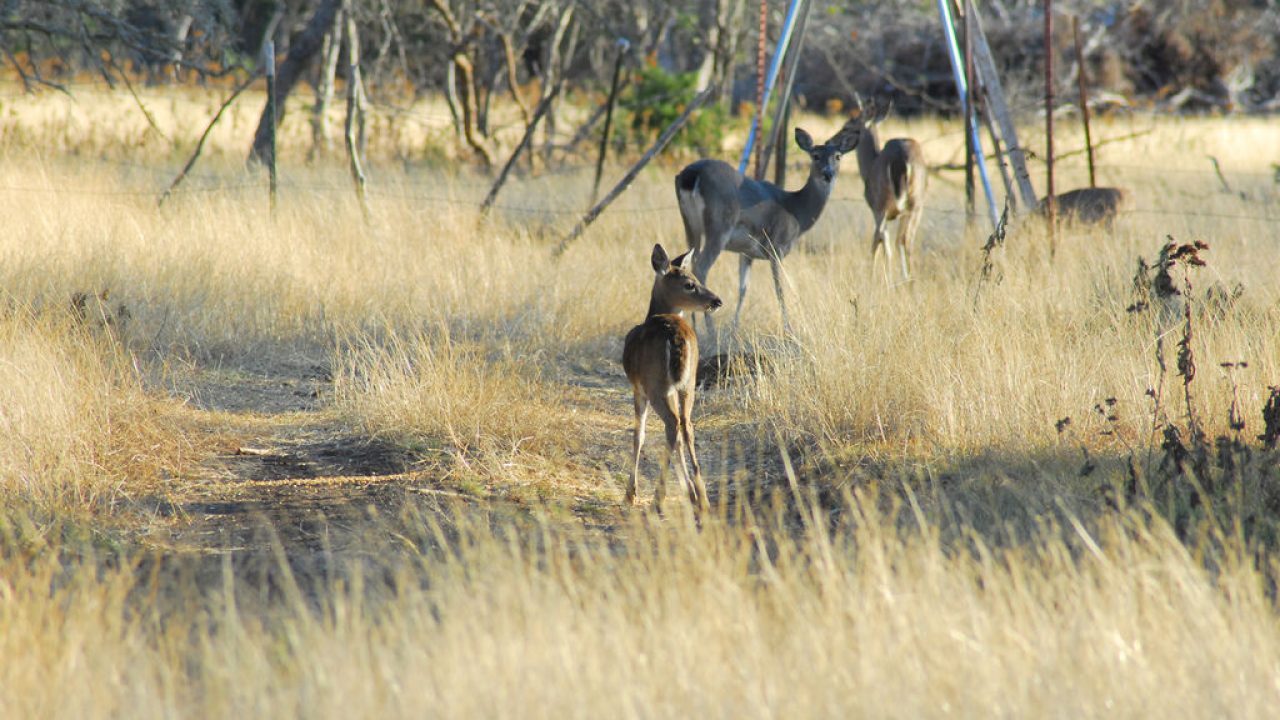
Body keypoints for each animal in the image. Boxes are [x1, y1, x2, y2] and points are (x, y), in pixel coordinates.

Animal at [622, 244, 723, 515]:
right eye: (690, 283)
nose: (717, 301)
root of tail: (676, 335)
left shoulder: (638, 388)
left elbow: (639, 434)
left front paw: (631, 493)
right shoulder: (675, 388)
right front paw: (690, 491)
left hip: (656, 384)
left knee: (672, 424)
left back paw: (658, 498)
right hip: (688, 384)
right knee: (686, 425)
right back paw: (702, 497)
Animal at [674, 120, 862, 343]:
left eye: (838, 156)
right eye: (815, 155)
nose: (828, 174)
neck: (797, 212)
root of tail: (691, 175)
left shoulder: (746, 252)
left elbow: (743, 289)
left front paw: (734, 329)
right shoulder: (776, 246)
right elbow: (780, 289)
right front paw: (789, 330)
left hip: (689, 225)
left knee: (688, 262)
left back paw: (693, 324)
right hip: (719, 224)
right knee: (701, 265)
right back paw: (710, 332)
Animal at [848, 95, 927, 283]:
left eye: (849, 125)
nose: (830, 141)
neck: (869, 166)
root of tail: (902, 159)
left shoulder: (876, 207)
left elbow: (880, 241)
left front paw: (876, 278)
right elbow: (895, 242)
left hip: (884, 201)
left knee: (886, 240)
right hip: (917, 203)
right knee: (907, 241)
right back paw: (911, 282)